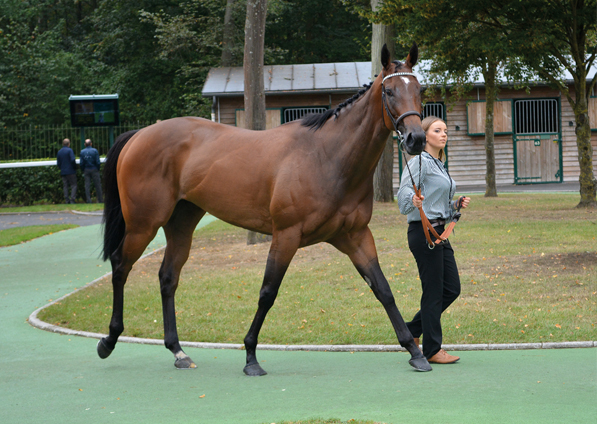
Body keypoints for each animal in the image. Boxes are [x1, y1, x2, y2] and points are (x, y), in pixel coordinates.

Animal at [100, 43, 430, 372]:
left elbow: (383, 289)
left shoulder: (355, 236)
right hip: (143, 225)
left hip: (181, 223)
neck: (326, 157)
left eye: (420, 90)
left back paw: (177, 350)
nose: (416, 139)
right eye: (389, 91)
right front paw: (250, 356)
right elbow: (267, 293)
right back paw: (109, 339)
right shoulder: (286, 235)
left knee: (168, 278)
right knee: (120, 265)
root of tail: (139, 135)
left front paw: (415, 351)